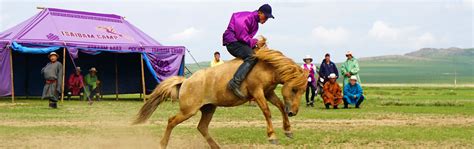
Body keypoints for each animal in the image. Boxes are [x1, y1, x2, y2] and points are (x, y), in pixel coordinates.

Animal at [134, 39, 308, 148]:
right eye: (294, 89)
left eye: (303, 90)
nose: (294, 112)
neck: (266, 66)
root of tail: (186, 81)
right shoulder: (258, 92)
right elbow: (267, 111)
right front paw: (272, 137)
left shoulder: (269, 92)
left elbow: (280, 106)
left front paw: (288, 130)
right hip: (188, 111)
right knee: (171, 121)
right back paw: (162, 144)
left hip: (209, 108)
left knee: (202, 127)